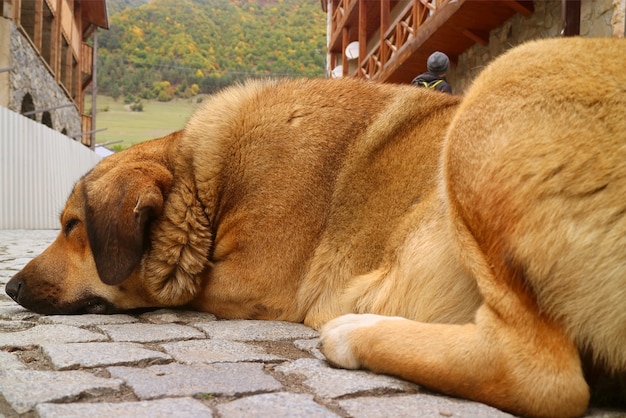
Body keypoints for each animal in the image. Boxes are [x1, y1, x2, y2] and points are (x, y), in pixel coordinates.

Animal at [6, 37, 624, 416]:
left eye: (72, 226)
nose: (9, 288)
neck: (207, 186)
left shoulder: (255, 280)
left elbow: (177, 286)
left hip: (503, 86)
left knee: (546, 378)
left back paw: (355, 333)